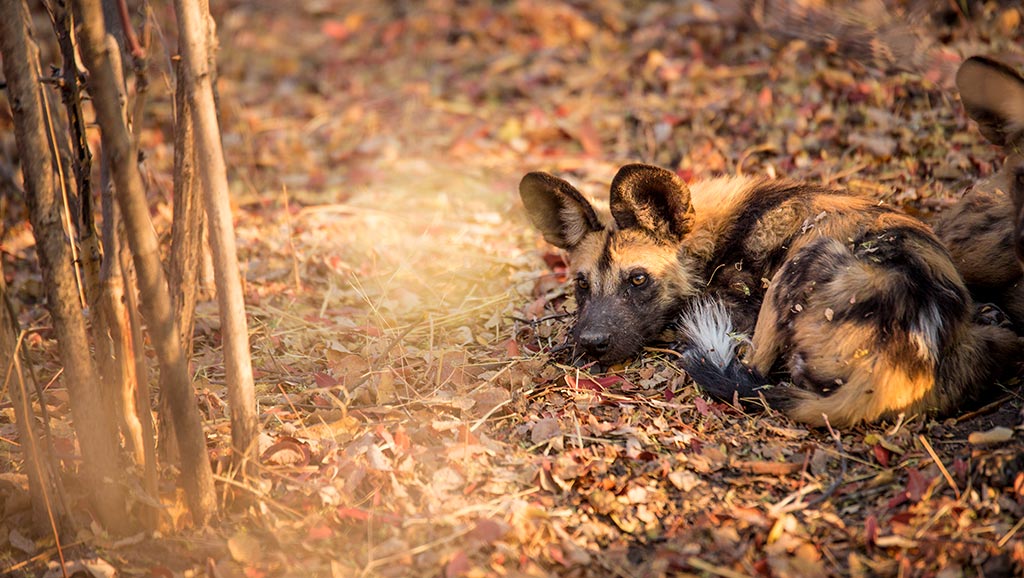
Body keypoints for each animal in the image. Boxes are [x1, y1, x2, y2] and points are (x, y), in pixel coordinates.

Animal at [524, 163, 1019, 428]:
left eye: (638, 280)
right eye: (582, 285)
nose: (590, 343)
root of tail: (903, 364)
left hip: (800, 264)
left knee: (752, 368)